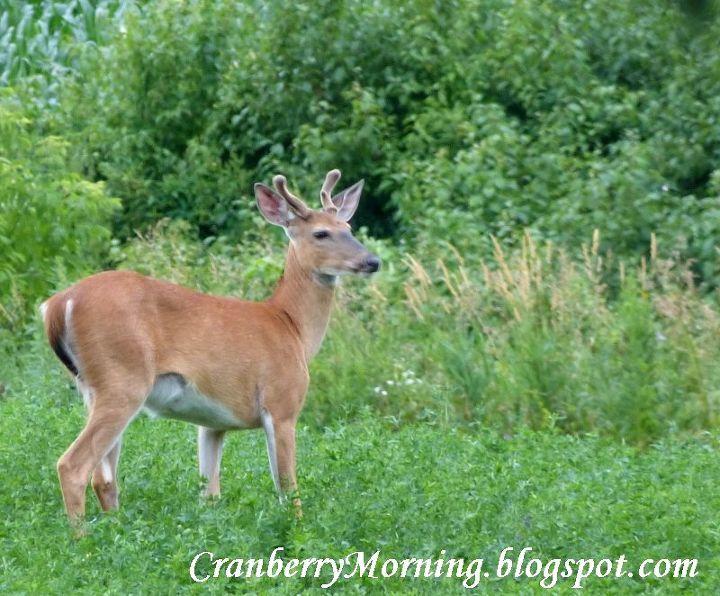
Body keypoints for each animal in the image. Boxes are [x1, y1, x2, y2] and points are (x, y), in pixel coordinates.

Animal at [40, 170, 380, 528]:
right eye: (321, 233)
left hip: (93, 389)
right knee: (73, 466)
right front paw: (297, 530)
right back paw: (83, 538)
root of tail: (57, 305)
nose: (372, 261)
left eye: (349, 228)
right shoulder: (281, 402)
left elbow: (209, 493)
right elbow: (288, 488)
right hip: (122, 380)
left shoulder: (212, 423)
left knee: (103, 478)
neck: (292, 327)